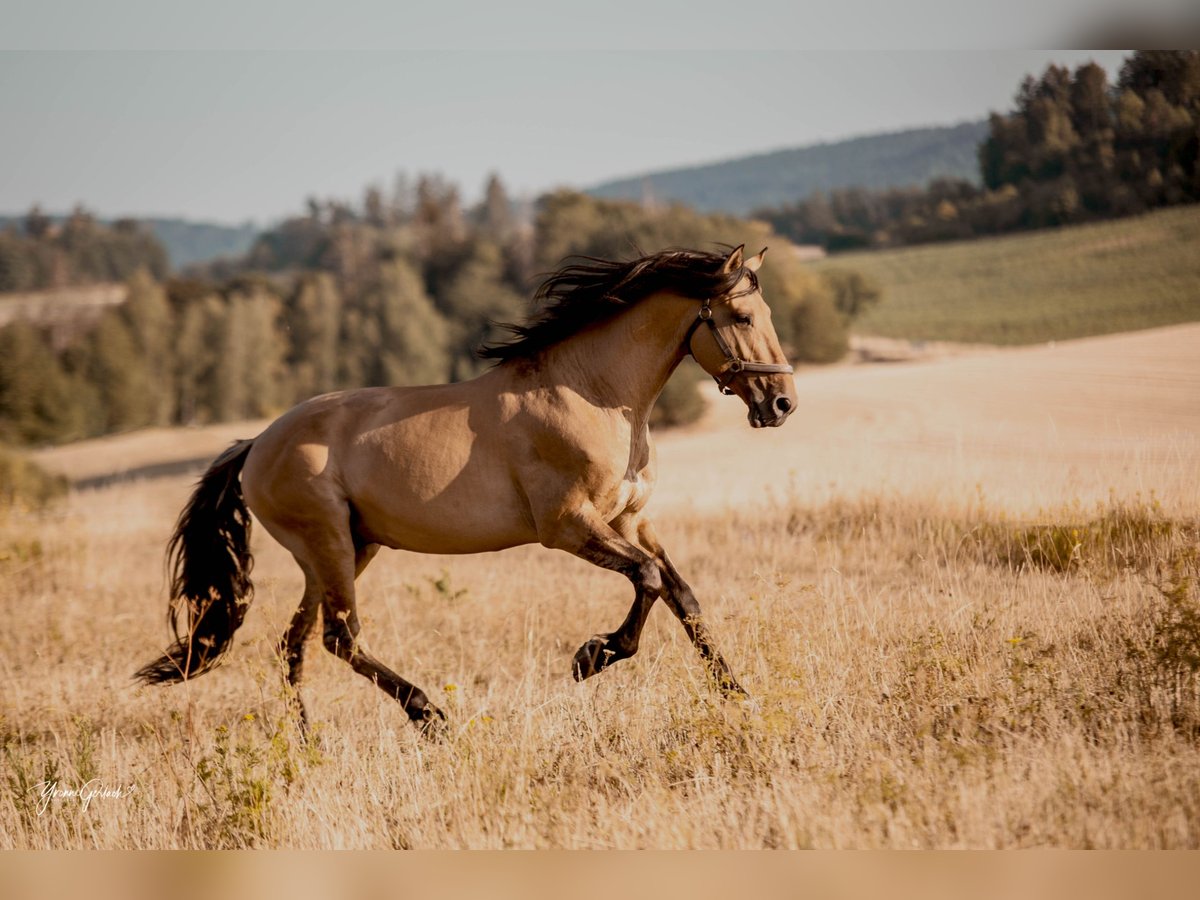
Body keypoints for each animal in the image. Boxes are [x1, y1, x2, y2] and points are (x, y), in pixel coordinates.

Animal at [133, 244, 796, 734]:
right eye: (740, 318)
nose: (781, 404)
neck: (593, 393)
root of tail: (256, 446)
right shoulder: (568, 526)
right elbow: (650, 580)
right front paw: (591, 657)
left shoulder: (630, 519)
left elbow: (682, 596)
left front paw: (737, 692)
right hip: (329, 546)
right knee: (339, 637)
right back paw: (429, 715)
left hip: (342, 551)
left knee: (293, 646)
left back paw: (307, 745)